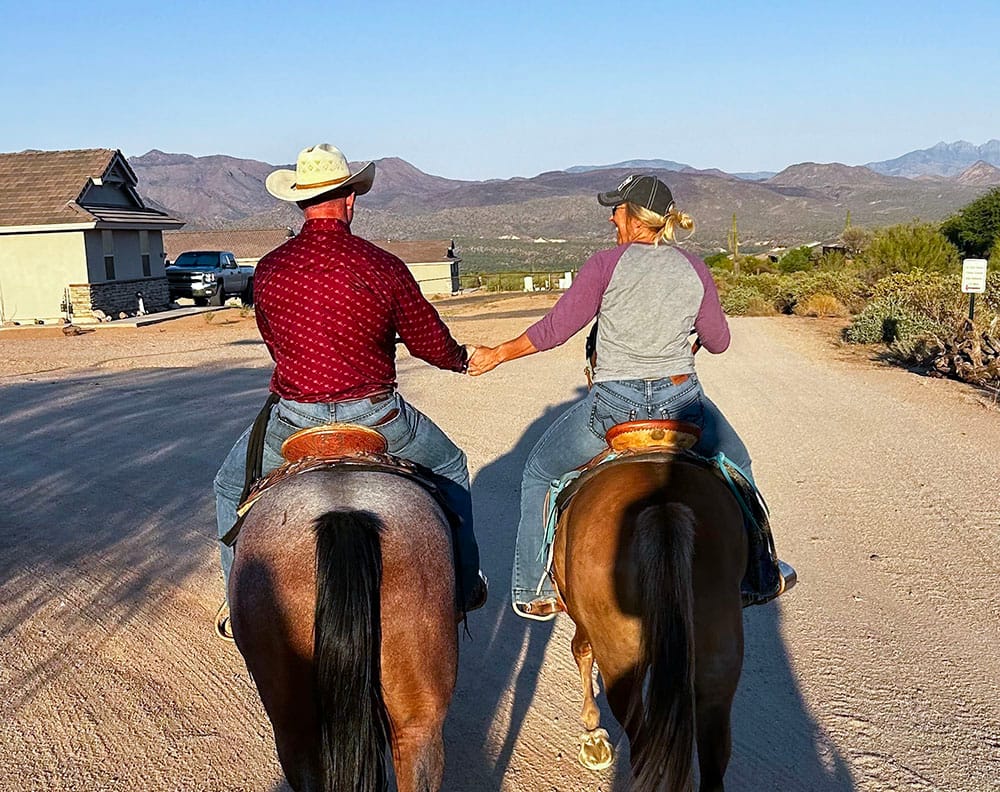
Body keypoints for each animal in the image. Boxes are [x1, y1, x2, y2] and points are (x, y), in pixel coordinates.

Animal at [552, 448, 748, 788]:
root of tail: (663, 508)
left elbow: (581, 651)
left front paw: (592, 734)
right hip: (718, 663)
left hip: (620, 665)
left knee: (642, 748)